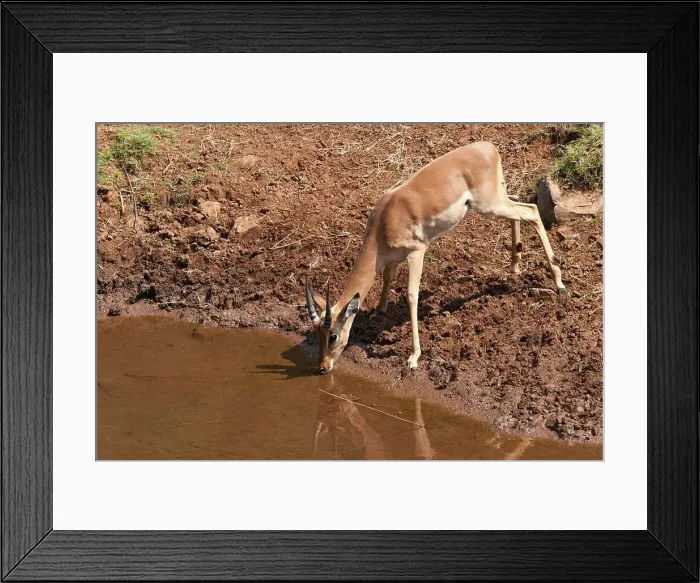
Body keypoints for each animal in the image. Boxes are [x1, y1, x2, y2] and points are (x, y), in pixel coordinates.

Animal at [305, 141, 565, 374]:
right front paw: (380, 310)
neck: (384, 222)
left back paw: (559, 282)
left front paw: (413, 357)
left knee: (532, 210)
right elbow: (387, 277)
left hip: (489, 207)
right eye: (316, 334)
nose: (322, 367)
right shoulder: (393, 257)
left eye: (332, 336)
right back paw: (515, 266)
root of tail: (489, 147)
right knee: (521, 206)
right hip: (496, 201)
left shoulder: (417, 252)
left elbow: (411, 295)